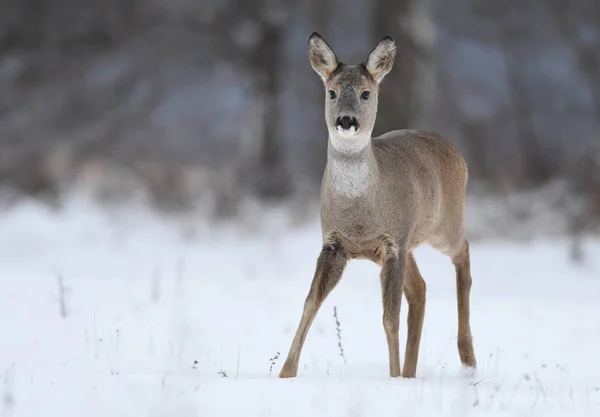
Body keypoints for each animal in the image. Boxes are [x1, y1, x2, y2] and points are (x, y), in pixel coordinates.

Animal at [278, 31, 478, 376]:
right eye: (331, 92)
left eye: (366, 93)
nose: (346, 120)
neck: (360, 210)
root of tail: (454, 151)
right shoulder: (335, 242)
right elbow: (310, 302)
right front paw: (284, 373)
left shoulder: (392, 242)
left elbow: (389, 318)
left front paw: (392, 376)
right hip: (411, 242)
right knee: (420, 289)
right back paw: (412, 371)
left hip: (444, 225)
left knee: (463, 253)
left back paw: (466, 355)